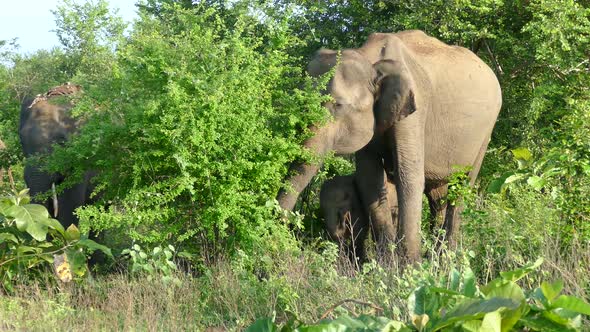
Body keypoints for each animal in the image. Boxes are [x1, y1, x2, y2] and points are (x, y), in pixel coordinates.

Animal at [280, 30, 502, 262]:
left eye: (338, 105)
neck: (369, 57)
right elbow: (369, 179)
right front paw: (387, 263)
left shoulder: (415, 108)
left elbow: (409, 176)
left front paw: (410, 266)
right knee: (437, 195)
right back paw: (435, 257)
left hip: (486, 131)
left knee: (463, 186)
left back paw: (445, 259)